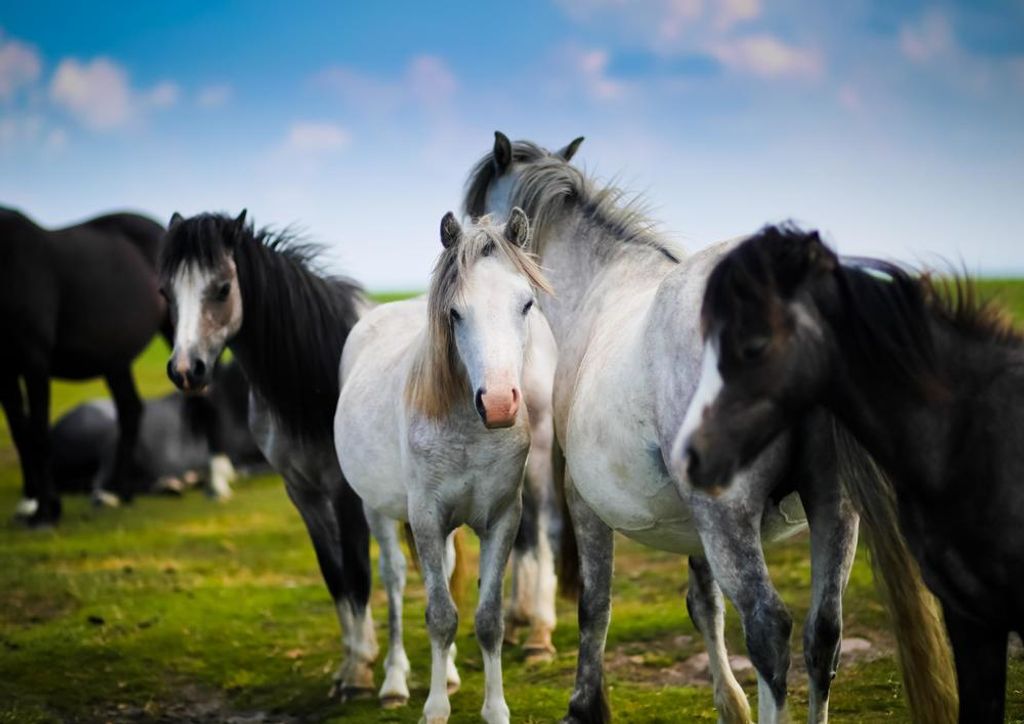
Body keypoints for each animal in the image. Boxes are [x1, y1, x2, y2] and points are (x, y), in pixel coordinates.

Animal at [0, 206, 168, 525]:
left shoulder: (34, 359)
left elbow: (38, 433)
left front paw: (46, 511)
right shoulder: (2, 368)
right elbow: (20, 432)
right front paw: (30, 501)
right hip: (115, 360)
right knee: (130, 410)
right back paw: (120, 491)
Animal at [158, 210, 378, 699]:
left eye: (223, 287)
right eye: (165, 292)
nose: (185, 370)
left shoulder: (345, 494)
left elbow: (357, 573)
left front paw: (358, 674)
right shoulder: (303, 493)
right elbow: (335, 575)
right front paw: (351, 664)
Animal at [334, 210, 552, 723]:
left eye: (526, 304)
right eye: (455, 313)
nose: (498, 403)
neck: (469, 430)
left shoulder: (502, 519)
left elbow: (487, 619)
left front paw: (495, 709)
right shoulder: (427, 520)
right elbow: (440, 615)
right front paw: (434, 709)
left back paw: (449, 673)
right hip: (378, 510)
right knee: (394, 581)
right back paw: (394, 682)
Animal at [463, 133, 956, 724]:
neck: (601, 284)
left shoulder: (586, 502)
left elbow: (594, 605)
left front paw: (586, 705)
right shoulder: (691, 520)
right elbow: (704, 604)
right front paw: (730, 704)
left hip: (730, 517)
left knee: (769, 629)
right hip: (832, 509)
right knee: (823, 635)